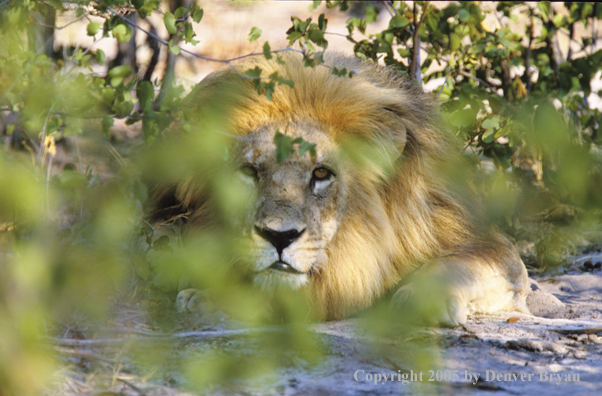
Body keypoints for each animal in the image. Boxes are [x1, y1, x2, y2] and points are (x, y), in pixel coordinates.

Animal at [149, 52, 524, 326]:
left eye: (321, 173)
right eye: (249, 171)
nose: (279, 238)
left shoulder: (485, 242)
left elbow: (457, 265)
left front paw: (420, 300)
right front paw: (206, 299)